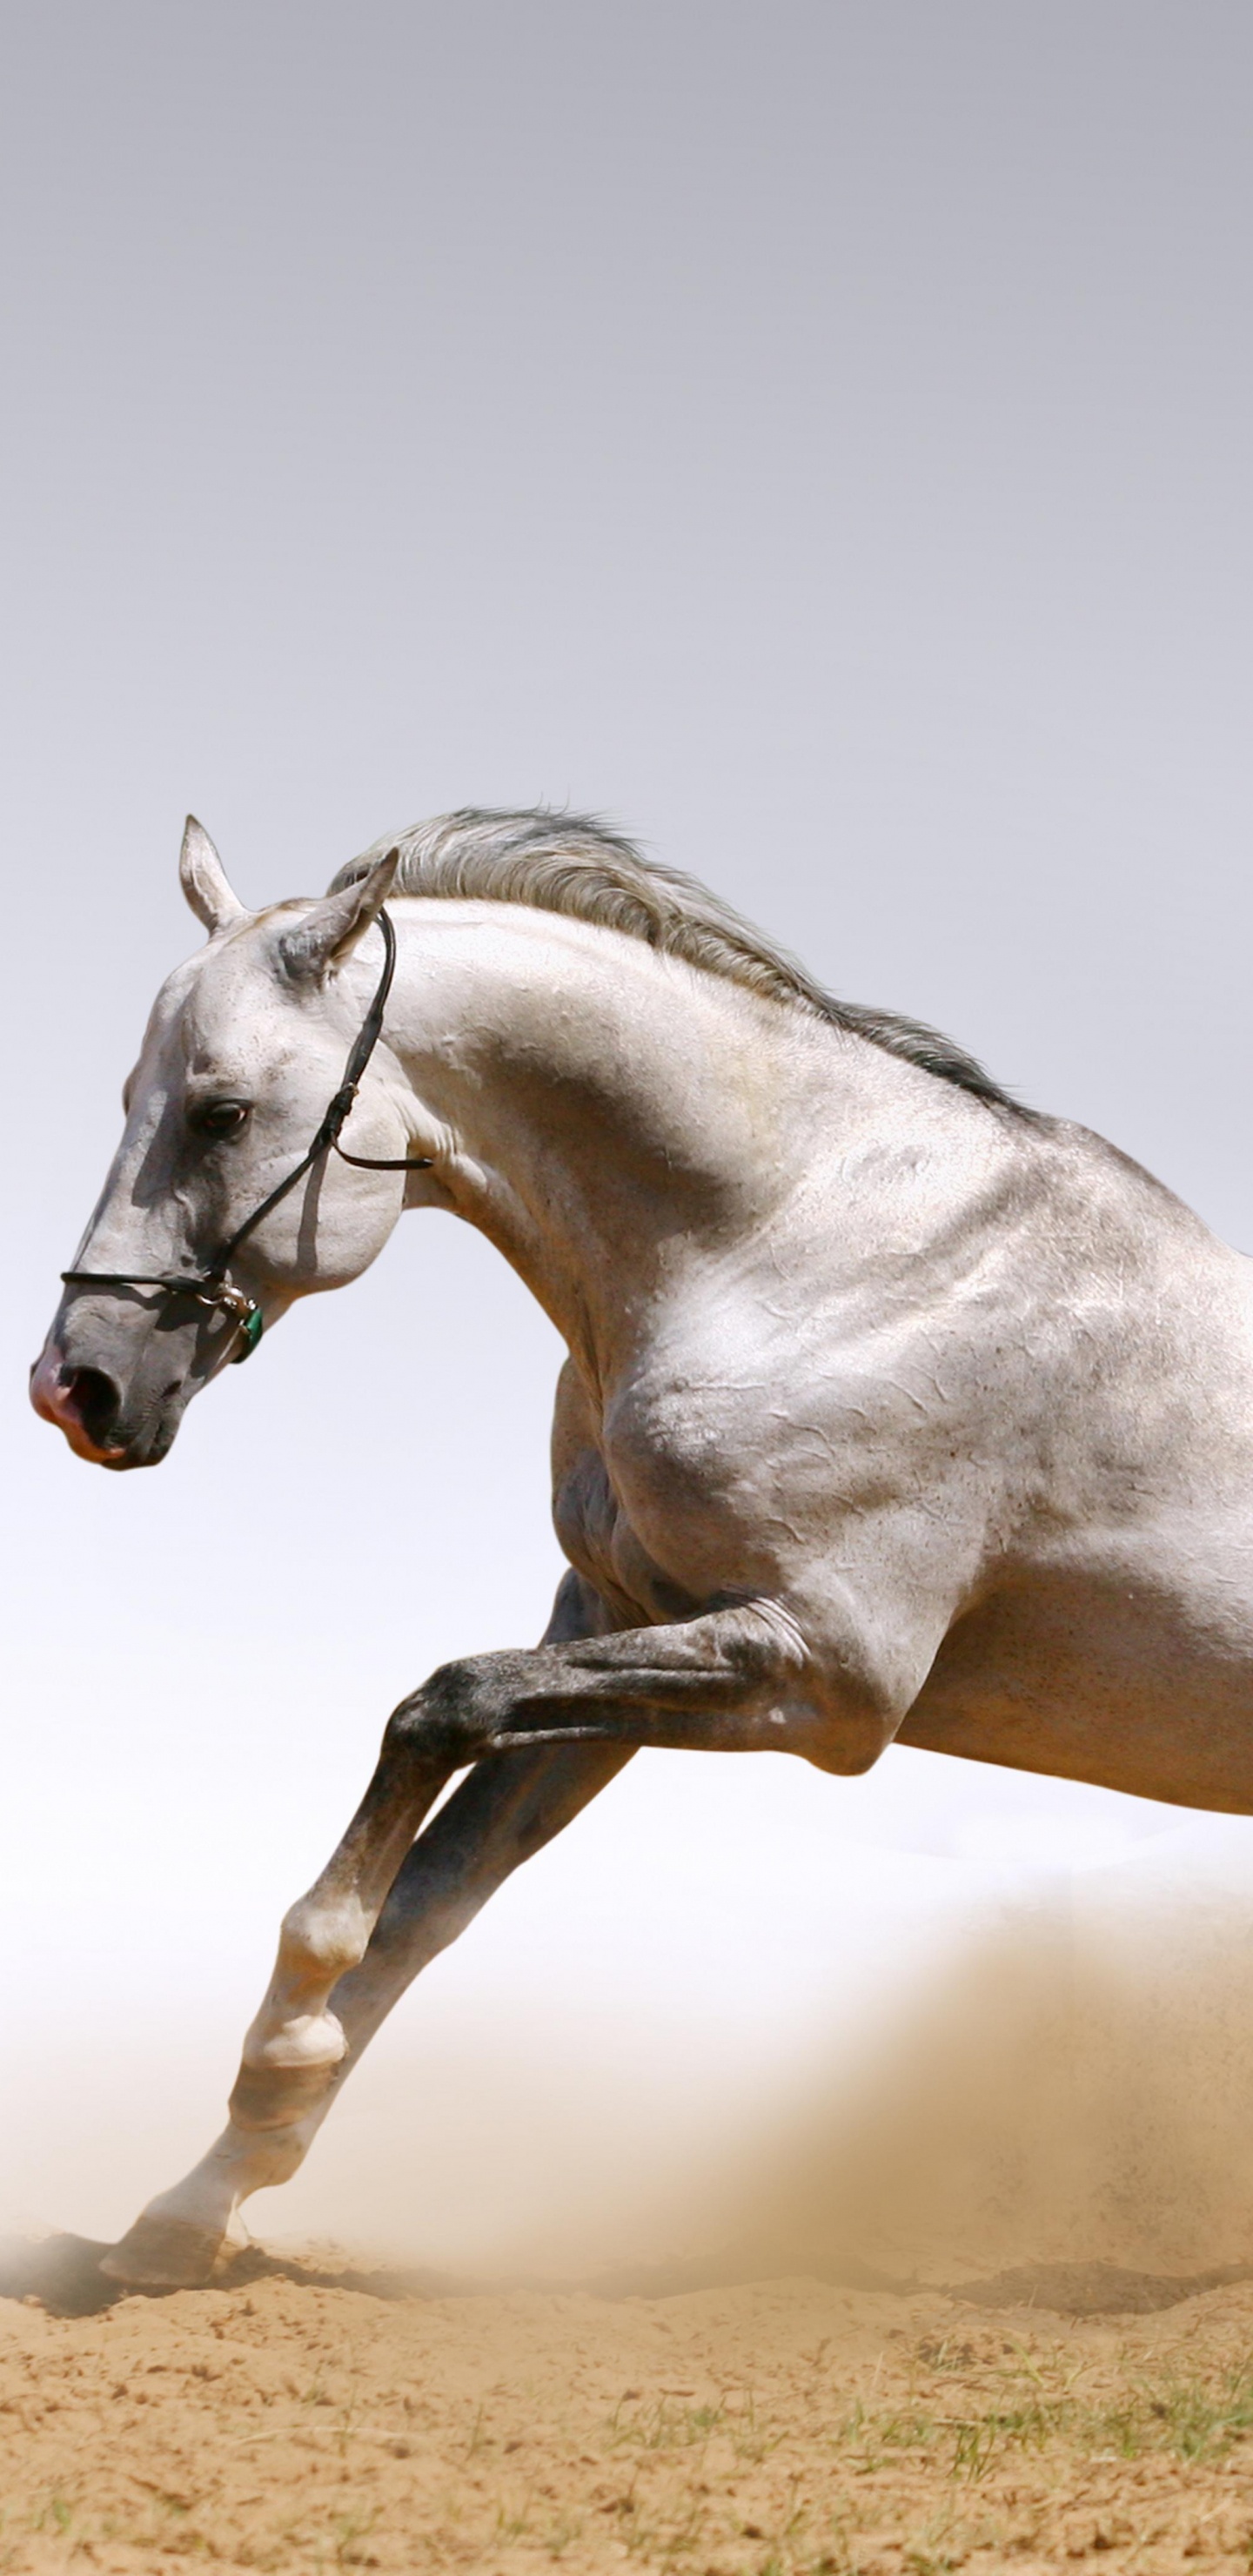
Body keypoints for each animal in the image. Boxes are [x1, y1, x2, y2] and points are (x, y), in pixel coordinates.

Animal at [30, 807, 1253, 2287]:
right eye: (129, 1100)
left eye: (219, 1112)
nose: (76, 1388)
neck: (804, 1252)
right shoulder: (616, 1627)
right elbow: (429, 1897)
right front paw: (195, 2204)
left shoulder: (824, 1677)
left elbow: (436, 1712)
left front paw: (290, 2026)